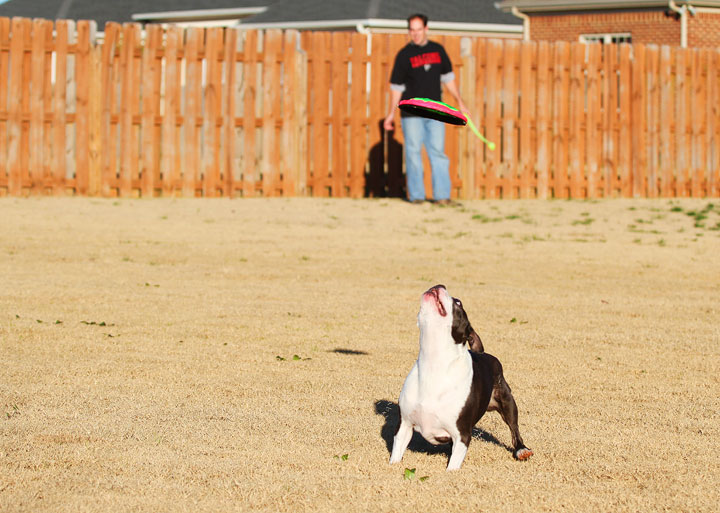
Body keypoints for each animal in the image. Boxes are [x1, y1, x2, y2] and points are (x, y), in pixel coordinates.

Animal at [390, 284, 532, 468]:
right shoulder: (404, 426)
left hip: (507, 402)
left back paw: (521, 449)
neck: (433, 361)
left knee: (514, 428)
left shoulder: (462, 435)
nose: (440, 285)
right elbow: (396, 454)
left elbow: (452, 467)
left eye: (458, 302)